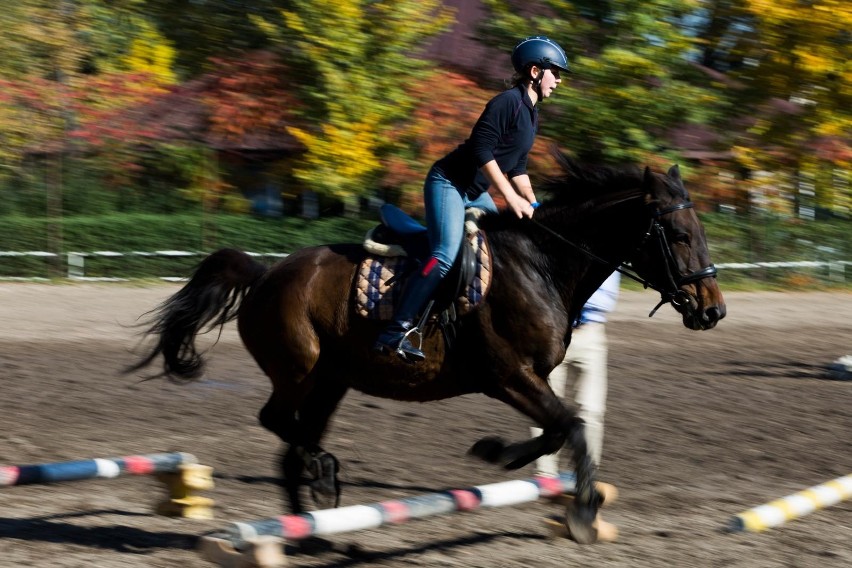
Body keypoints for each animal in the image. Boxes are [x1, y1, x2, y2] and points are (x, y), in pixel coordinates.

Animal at [128, 158, 724, 544]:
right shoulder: (509, 376)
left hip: (331, 381)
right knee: (278, 423)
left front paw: (504, 457)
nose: (713, 309)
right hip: (299, 372)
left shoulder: (529, 379)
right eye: (677, 234)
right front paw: (576, 511)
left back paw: (310, 525)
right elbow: (571, 428)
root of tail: (264, 273)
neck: (542, 264)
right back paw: (323, 476)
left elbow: (560, 430)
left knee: (292, 445)